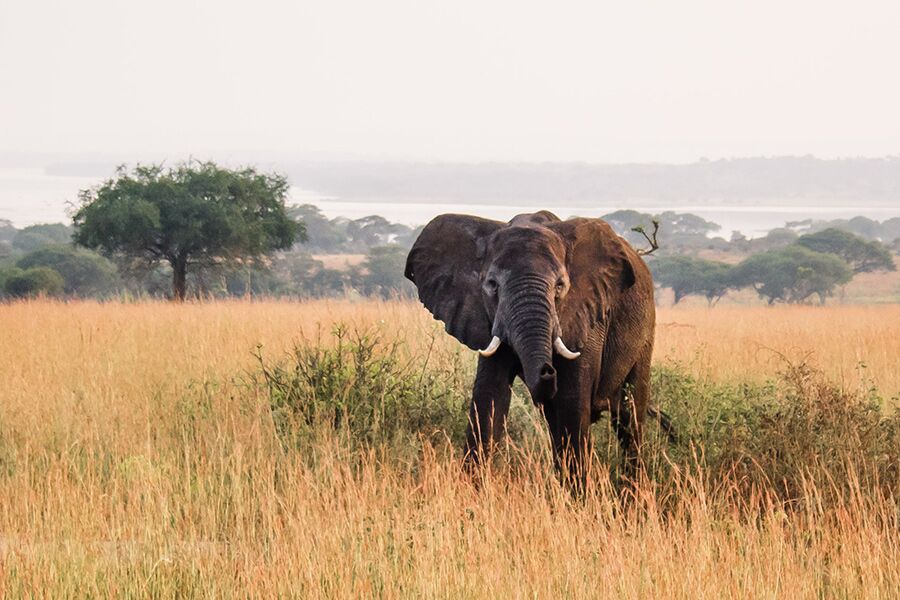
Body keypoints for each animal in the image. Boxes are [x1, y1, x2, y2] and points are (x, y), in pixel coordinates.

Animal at [404, 210, 659, 484]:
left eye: (560, 286)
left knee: (630, 420)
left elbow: (572, 400)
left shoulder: (586, 315)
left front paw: (578, 493)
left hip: (645, 332)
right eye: (492, 284)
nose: (548, 370)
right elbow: (490, 396)